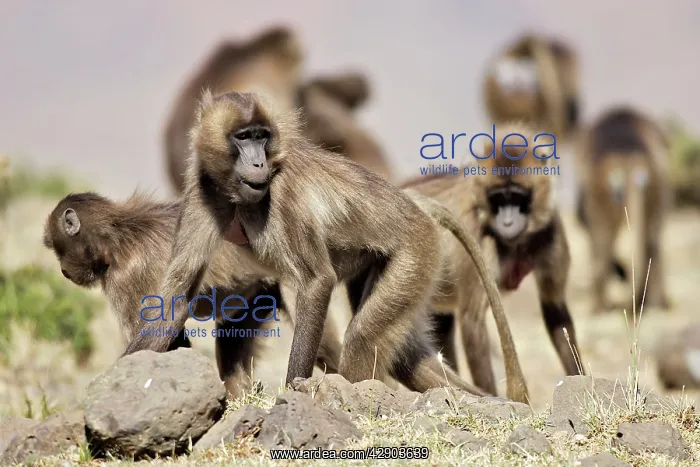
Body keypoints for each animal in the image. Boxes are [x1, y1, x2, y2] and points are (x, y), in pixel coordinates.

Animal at [43, 191, 343, 398]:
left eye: (57, 248)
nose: (64, 271)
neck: (118, 235)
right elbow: (174, 338)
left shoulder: (128, 276)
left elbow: (164, 325)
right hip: (255, 294)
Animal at [123, 90, 529, 402]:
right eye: (242, 137)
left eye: (261, 136)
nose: (258, 163)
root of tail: (415, 206)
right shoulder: (202, 189)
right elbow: (176, 299)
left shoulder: (285, 194)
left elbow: (317, 281)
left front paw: (293, 394)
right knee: (407, 359)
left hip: (416, 251)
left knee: (364, 338)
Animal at [402, 121, 582, 396]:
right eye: (498, 198)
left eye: (517, 197)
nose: (507, 222)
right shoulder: (477, 235)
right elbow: (472, 321)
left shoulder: (550, 229)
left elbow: (555, 311)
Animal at [575, 106, 672, 313]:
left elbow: (589, 227)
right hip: (659, 183)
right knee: (652, 237)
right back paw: (658, 304)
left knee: (601, 238)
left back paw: (599, 308)